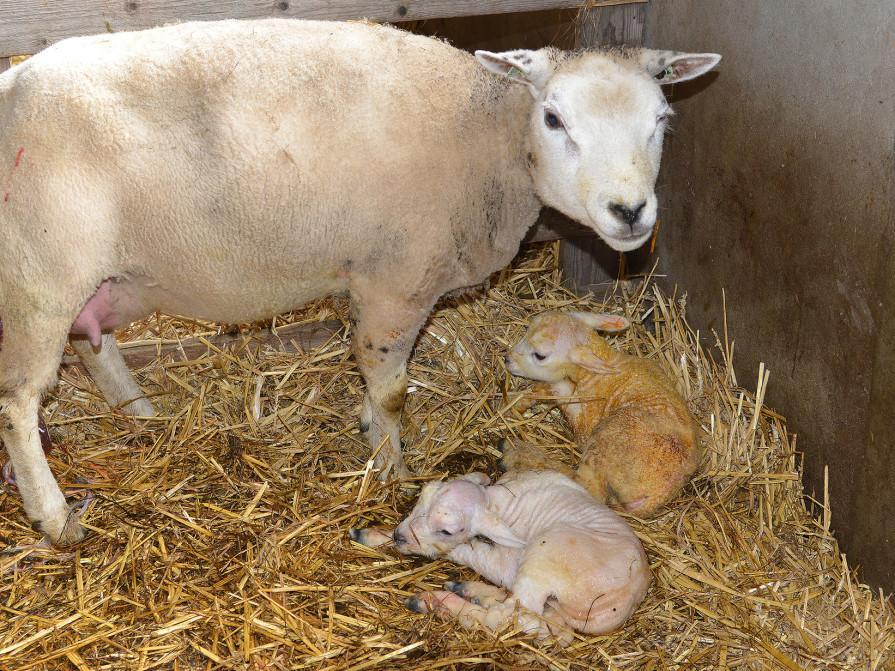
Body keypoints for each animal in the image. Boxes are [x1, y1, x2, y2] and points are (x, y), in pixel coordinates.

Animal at [0, 19, 720, 544]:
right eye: (553, 118)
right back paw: (55, 517)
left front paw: (369, 430)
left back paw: (139, 412)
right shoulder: (394, 280)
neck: (485, 133)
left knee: (92, 343)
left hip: (94, 274)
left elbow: (377, 382)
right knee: (18, 401)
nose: (629, 212)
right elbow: (394, 389)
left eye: (661, 119)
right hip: (39, 274)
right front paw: (393, 467)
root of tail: (11, 82)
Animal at [350, 470, 652, 644]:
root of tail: (625, 602)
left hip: (548, 552)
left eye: (447, 530)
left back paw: (437, 602)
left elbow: (466, 551)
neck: (498, 501)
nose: (401, 536)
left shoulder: (509, 558)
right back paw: (472, 591)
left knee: (507, 618)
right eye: (421, 496)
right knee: (546, 627)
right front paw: (377, 533)